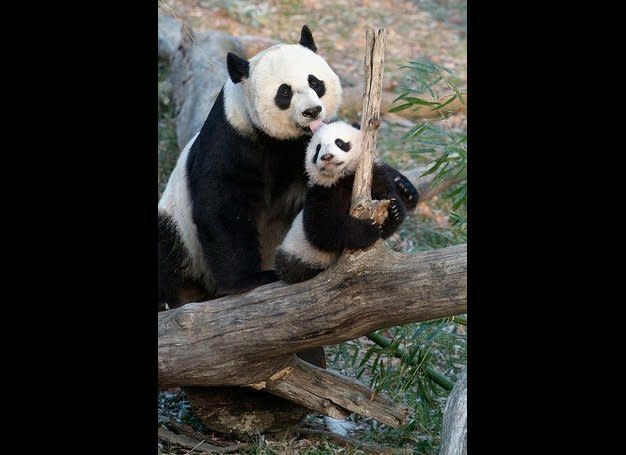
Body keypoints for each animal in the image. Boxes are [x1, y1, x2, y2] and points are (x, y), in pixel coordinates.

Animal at [158, 25, 414, 310]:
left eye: (315, 82)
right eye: (284, 92)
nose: (312, 111)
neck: (282, 140)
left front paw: (402, 189)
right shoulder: (231, 141)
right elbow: (223, 208)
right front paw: (248, 280)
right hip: (176, 227)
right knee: (167, 251)